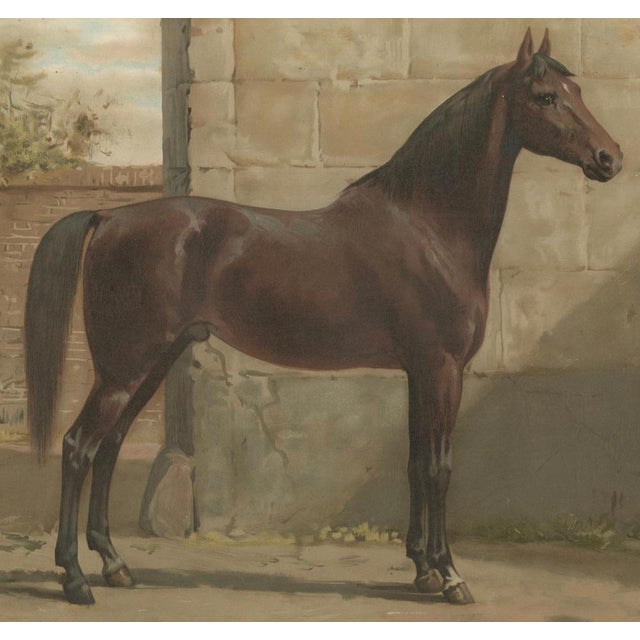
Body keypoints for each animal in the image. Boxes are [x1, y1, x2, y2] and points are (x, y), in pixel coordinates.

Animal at [24, 29, 622, 606]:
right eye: (546, 97)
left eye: (577, 90)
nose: (610, 156)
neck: (428, 226)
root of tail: (109, 217)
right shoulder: (443, 369)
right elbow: (439, 467)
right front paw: (450, 576)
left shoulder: (417, 372)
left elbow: (413, 463)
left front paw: (422, 569)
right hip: (126, 368)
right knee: (78, 447)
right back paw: (75, 579)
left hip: (149, 365)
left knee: (109, 446)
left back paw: (115, 566)